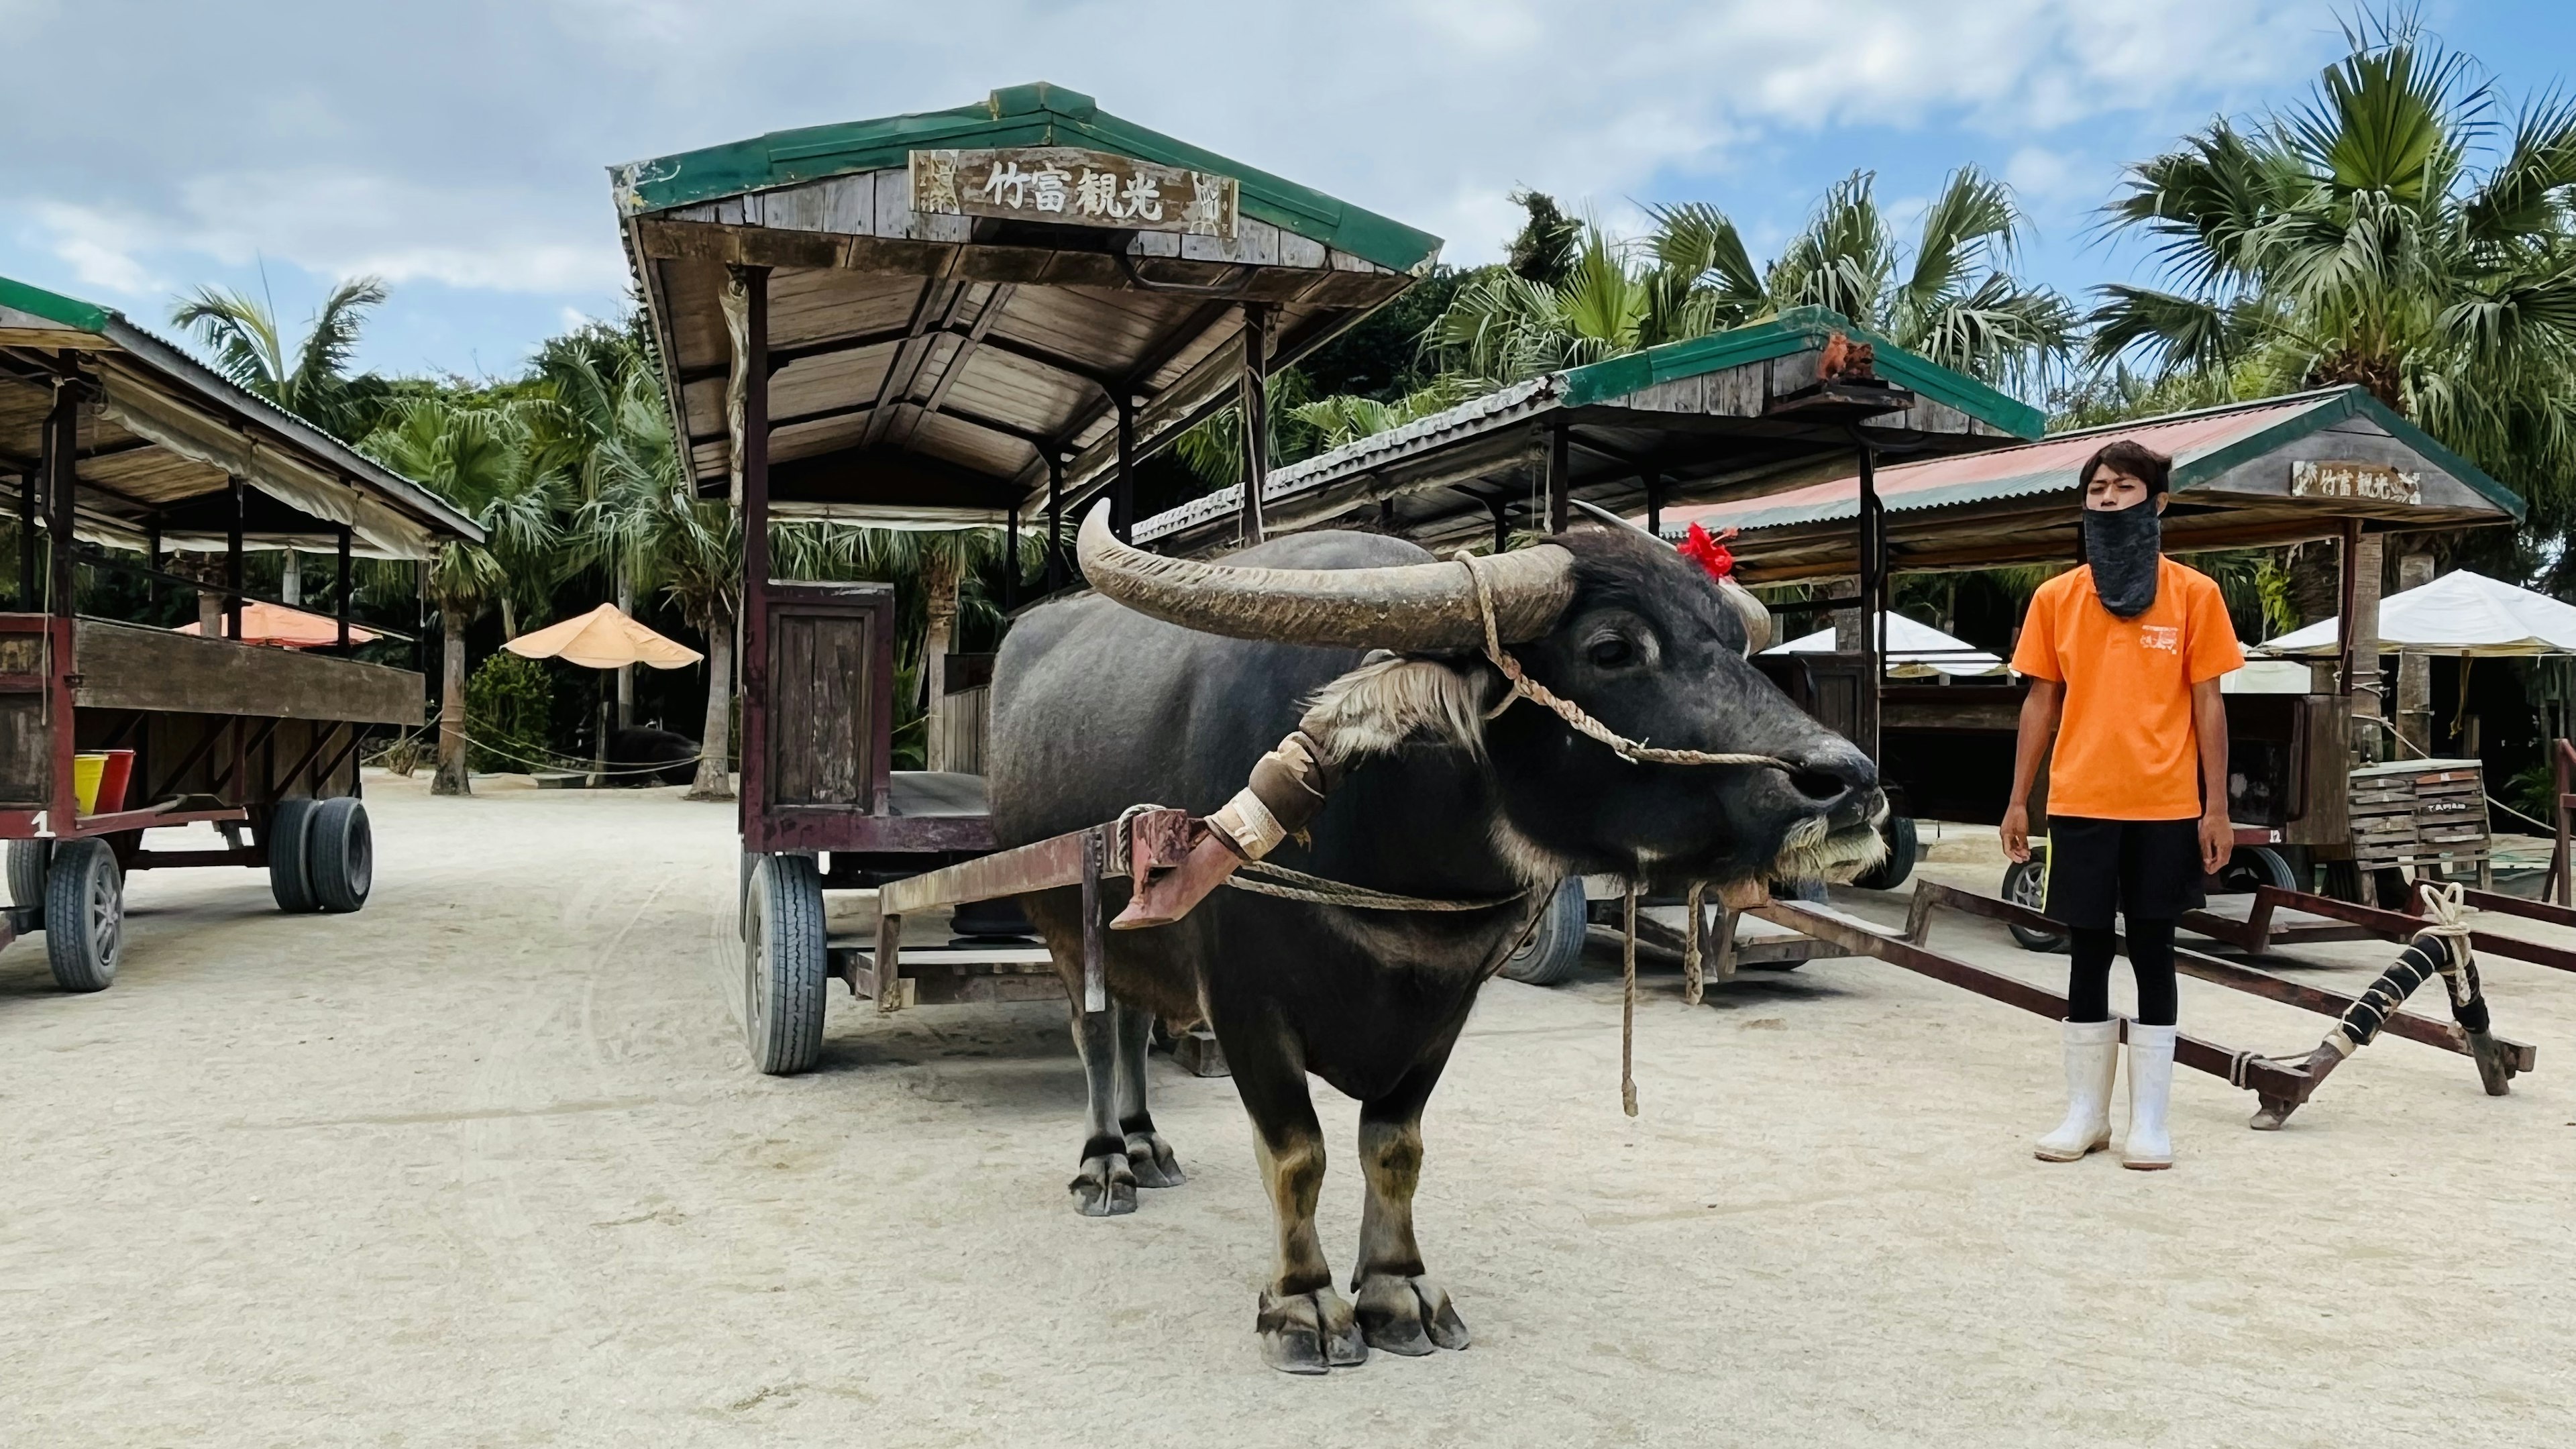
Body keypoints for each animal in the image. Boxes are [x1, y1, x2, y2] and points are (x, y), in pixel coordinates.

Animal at [983, 502, 1875, 1371]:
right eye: (1613, 647)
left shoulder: (1447, 1004)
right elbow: (1298, 1153)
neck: (1391, 835)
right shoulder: (1244, 1003)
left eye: (1735, 643)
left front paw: (1397, 1291)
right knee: (1099, 1033)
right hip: (1067, 926)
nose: (1852, 783)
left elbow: (1395, 1148)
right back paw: (1106, 1162)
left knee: (1135, 1023)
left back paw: (1147, 1147)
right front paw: (1303, 1304)